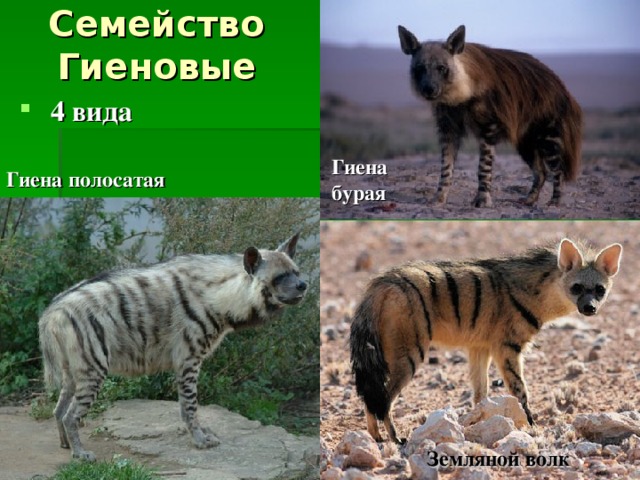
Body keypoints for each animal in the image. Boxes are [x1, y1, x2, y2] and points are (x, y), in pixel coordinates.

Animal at [39, 232, 307, 461]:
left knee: (58, 409)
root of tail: (52, 312)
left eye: (296, 271)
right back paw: (81, 454)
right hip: (94, 368)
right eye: (279, 277)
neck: (220, 298)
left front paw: (204, 433)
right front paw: (200, 440)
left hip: (73, 369)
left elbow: (187, 407)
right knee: (71, 414)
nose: (303, 285)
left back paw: (65, 445)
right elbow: (190, 405)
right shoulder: (189, 358)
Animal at [350, 239, 622, 443]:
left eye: (599, 289)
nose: (589, 308)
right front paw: (531, 427)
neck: (536, 292)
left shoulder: (480, 347)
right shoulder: (508, 347)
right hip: (410, 352)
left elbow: (481, 393)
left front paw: (480, 424)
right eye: (577, 287)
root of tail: (380, 285)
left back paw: (376, 437)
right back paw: (395, 438)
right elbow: (520, 391)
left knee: (370, 395)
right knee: (383, 398)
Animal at [398, 25, 582, 207]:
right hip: (525, 140)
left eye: (442, 68)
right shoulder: (448, 128)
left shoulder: (489, 126)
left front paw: (482, 200)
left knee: (557, 170)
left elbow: (483, 168)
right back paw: (528, 200)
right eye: (420, 69)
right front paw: (439, 198)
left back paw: (554, 202)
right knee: (541, 171)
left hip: (548, 135)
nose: (429, 89)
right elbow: (446, 167)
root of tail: (563, 89)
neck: (459, 98)